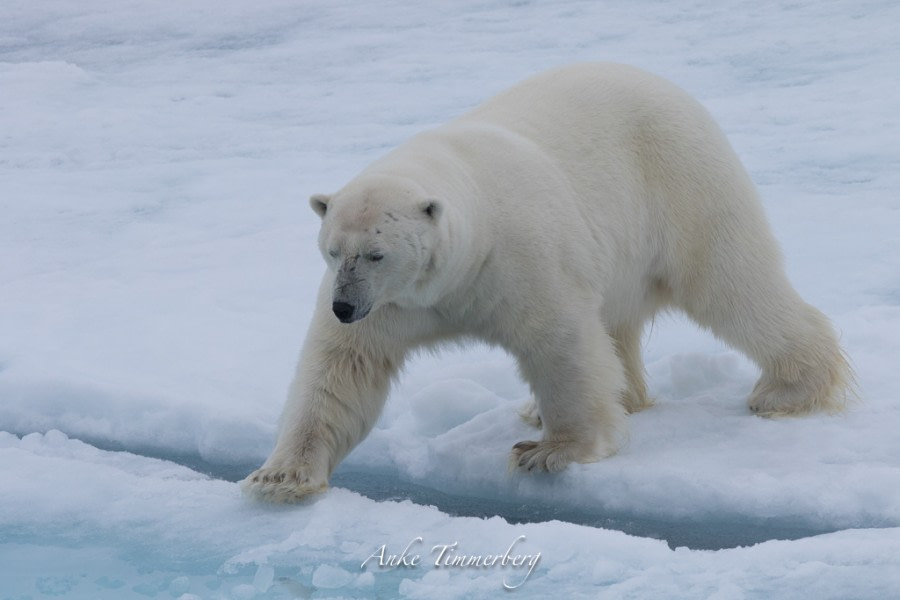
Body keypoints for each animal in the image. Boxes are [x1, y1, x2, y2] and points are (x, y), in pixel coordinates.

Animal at [243, 62, 856, 502]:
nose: (344, 307)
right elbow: (341, 369)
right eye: (331, 251)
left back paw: (787, 390)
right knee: (621, 324)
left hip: (680, 180)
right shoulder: (394, 307)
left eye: (375, 253)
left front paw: (548, 452)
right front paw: (280, 477)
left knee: (730, 283)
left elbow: (560, 342)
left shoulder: (517, 257)